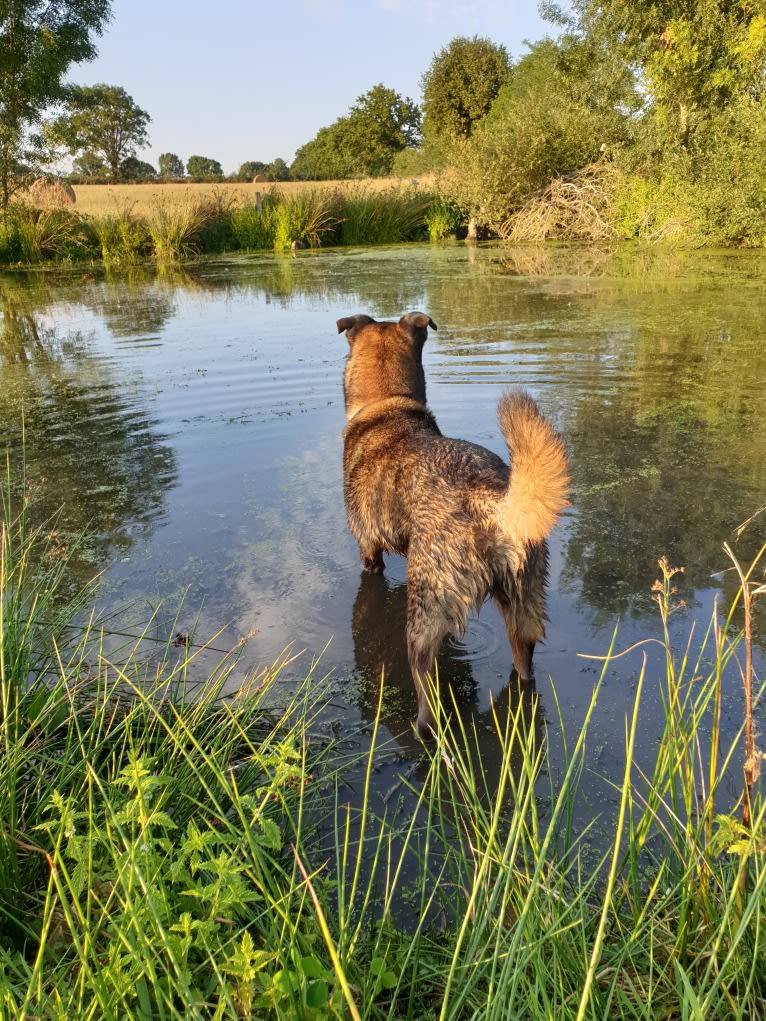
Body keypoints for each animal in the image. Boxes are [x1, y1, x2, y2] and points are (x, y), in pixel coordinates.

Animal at [334, 310, 571, 735]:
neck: (386, 406)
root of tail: (486, 498)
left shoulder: (368, 548)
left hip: (425, 610)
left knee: (426, 687)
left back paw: (423, 728)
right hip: (524, 603)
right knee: (524, 664)